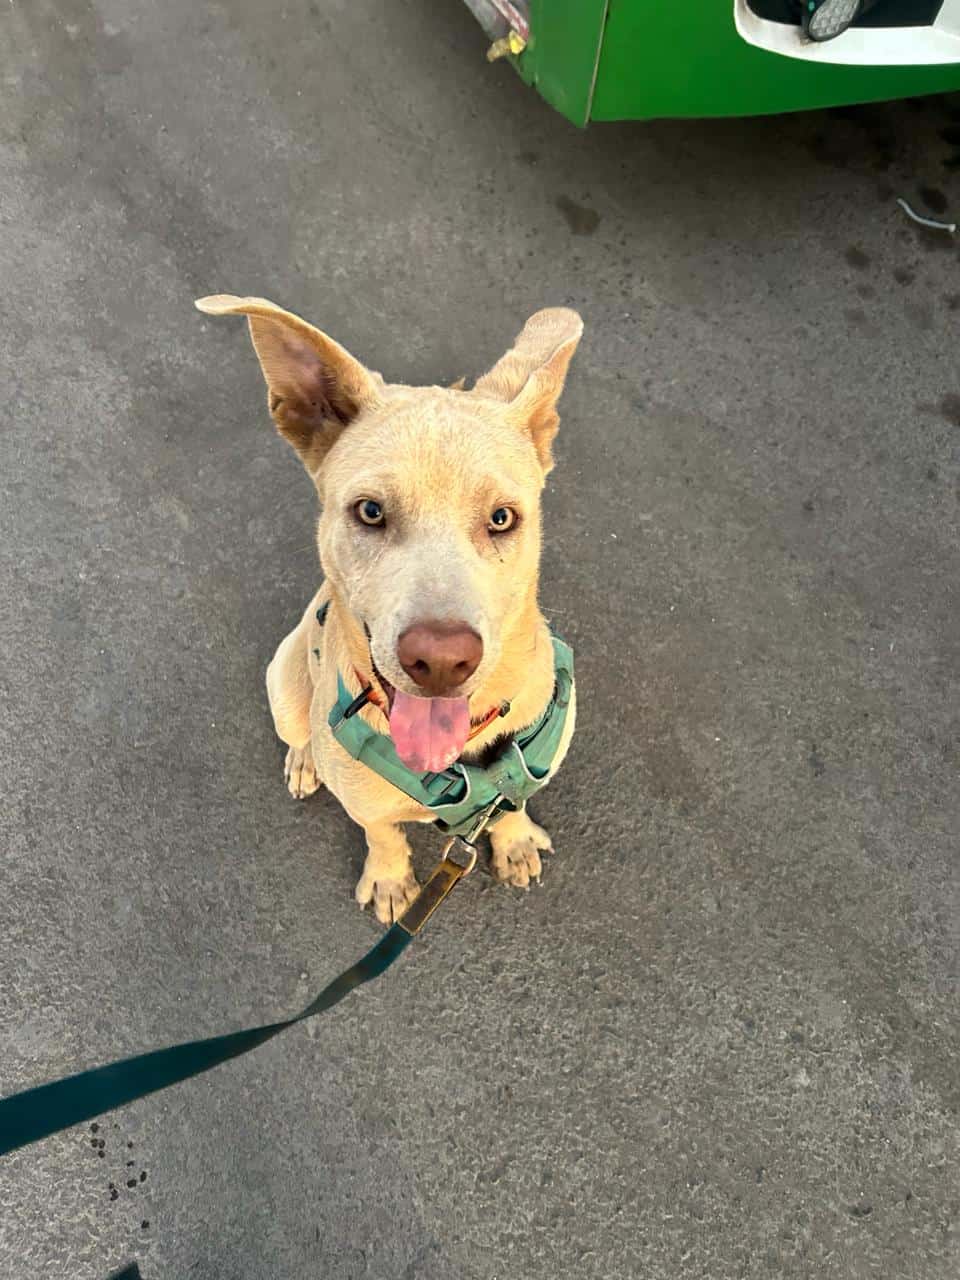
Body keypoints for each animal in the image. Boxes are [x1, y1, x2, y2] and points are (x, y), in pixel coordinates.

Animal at [197, 295, 578, 926]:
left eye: (502, 518)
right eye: (370, 511)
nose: (442, 660)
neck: (457, 764)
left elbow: (514, 802)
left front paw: (516, 838)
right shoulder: (368, 807)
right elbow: (380, 832)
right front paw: (391, 880)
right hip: (284, 681)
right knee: (299, 731)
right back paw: (305, 761)